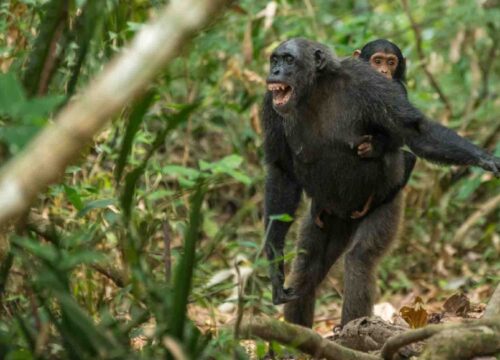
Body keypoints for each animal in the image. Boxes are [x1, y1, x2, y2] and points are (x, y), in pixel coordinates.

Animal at [264, 38, 498, 328]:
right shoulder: (270, 105)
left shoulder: (371, 85)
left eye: (289, 60)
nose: (275, 71)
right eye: (275, 60)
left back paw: (352, 330)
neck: (314, 89)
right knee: (308, 267)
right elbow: (281, 172)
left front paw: (485, 158)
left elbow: (416, 131)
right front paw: (274, 266)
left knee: (360, 258)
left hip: (385, 202)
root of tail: (346, 216)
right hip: (323, 217)